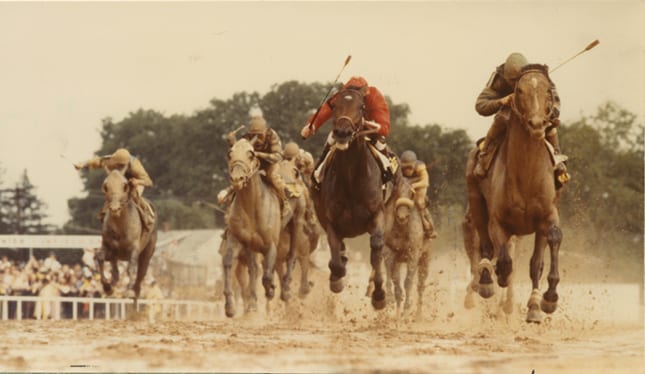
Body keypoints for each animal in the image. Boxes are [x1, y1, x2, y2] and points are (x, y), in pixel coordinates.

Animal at [98, 169, 158, 306]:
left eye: (125, 186)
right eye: (106, 186)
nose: (114, 208)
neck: (120, 227)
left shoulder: (134, 249)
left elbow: (131, 268)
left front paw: (129, 291)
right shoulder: (108, 247)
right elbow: (100, 258)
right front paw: (107, 287)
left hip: (148, 252)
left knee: (141, 274)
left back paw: (135, 293)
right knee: (116, 273)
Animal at [462, 64, 564, 322]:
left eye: (548, 90)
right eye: (519, 91)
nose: (537, 124)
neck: (525, 176)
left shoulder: (547, 217)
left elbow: (546, 250)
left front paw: (546, 300)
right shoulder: (498, 222)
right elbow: (503, 260)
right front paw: (493, 280)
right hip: (475, 201)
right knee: (486, 248)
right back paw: (486, 282)